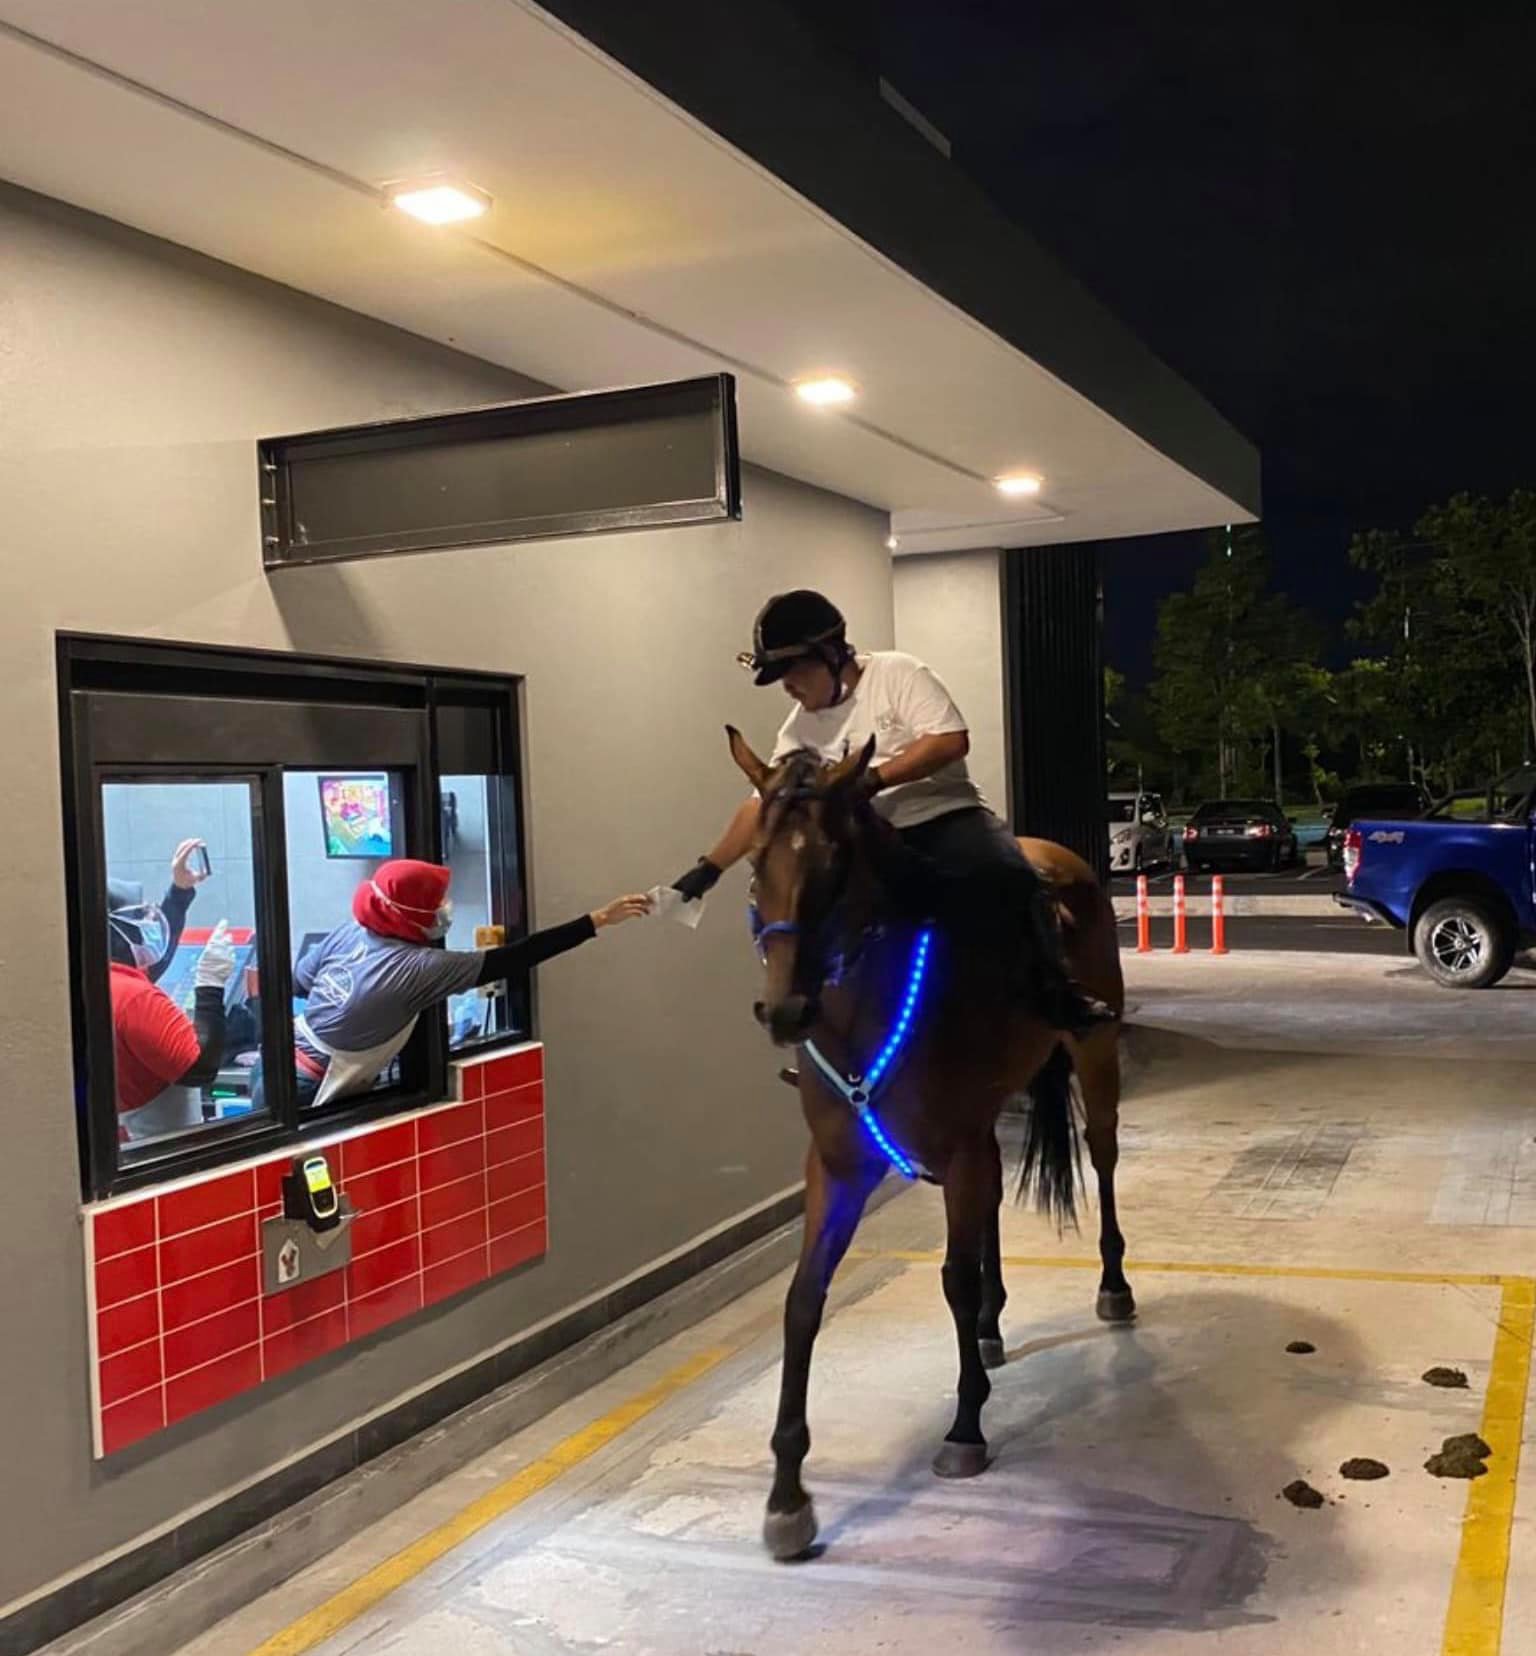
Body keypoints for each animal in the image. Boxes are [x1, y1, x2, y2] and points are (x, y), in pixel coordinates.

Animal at [724, 728, 1132, 1563]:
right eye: (755, 861)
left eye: (834, 865)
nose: (785, 1010)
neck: (863, 1010)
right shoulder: (838, 1167)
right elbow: (804, 1301)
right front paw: (787, 1497)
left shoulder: (959, 1146)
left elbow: (954, 1280)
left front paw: (966, 1426)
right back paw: (994, 1330)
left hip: (1092, 1054)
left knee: (1102, 1156)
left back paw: (1113, 1286)